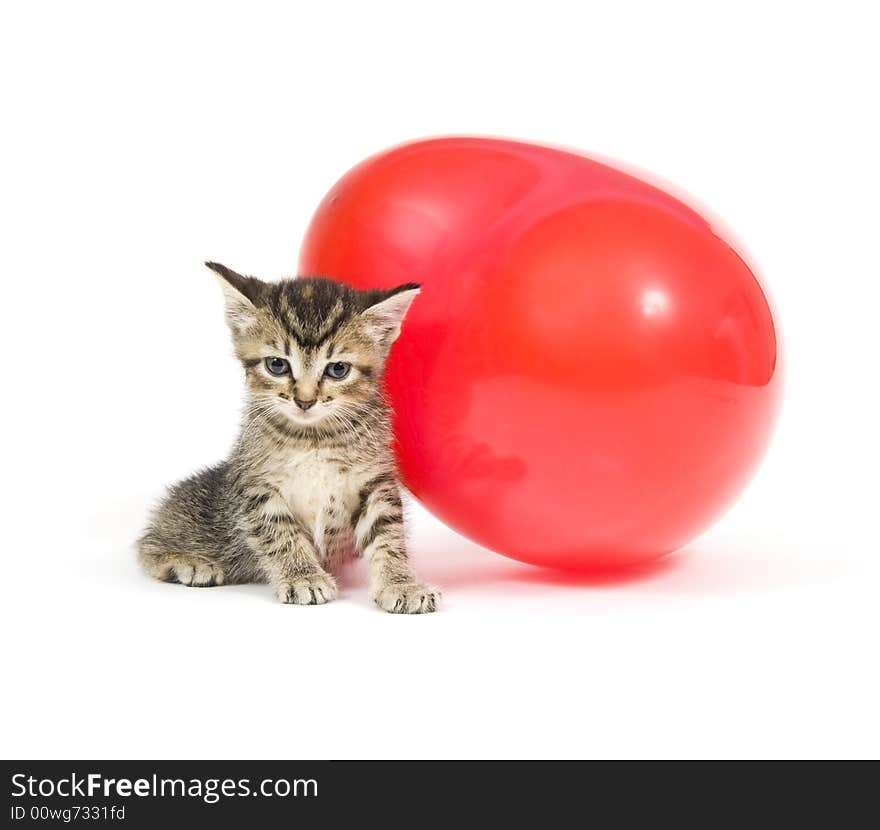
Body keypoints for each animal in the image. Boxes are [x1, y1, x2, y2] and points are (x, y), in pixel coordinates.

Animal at [138, 264, 440, 616]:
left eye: (338, 369)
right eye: (277, 365)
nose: (304, 401)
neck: (314, 438)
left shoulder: (376, 481)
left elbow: (388, 535)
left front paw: (401, 583)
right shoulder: (256, 485)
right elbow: (279, 531)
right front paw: (303, 577)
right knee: (147, 545)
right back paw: (191, 563)